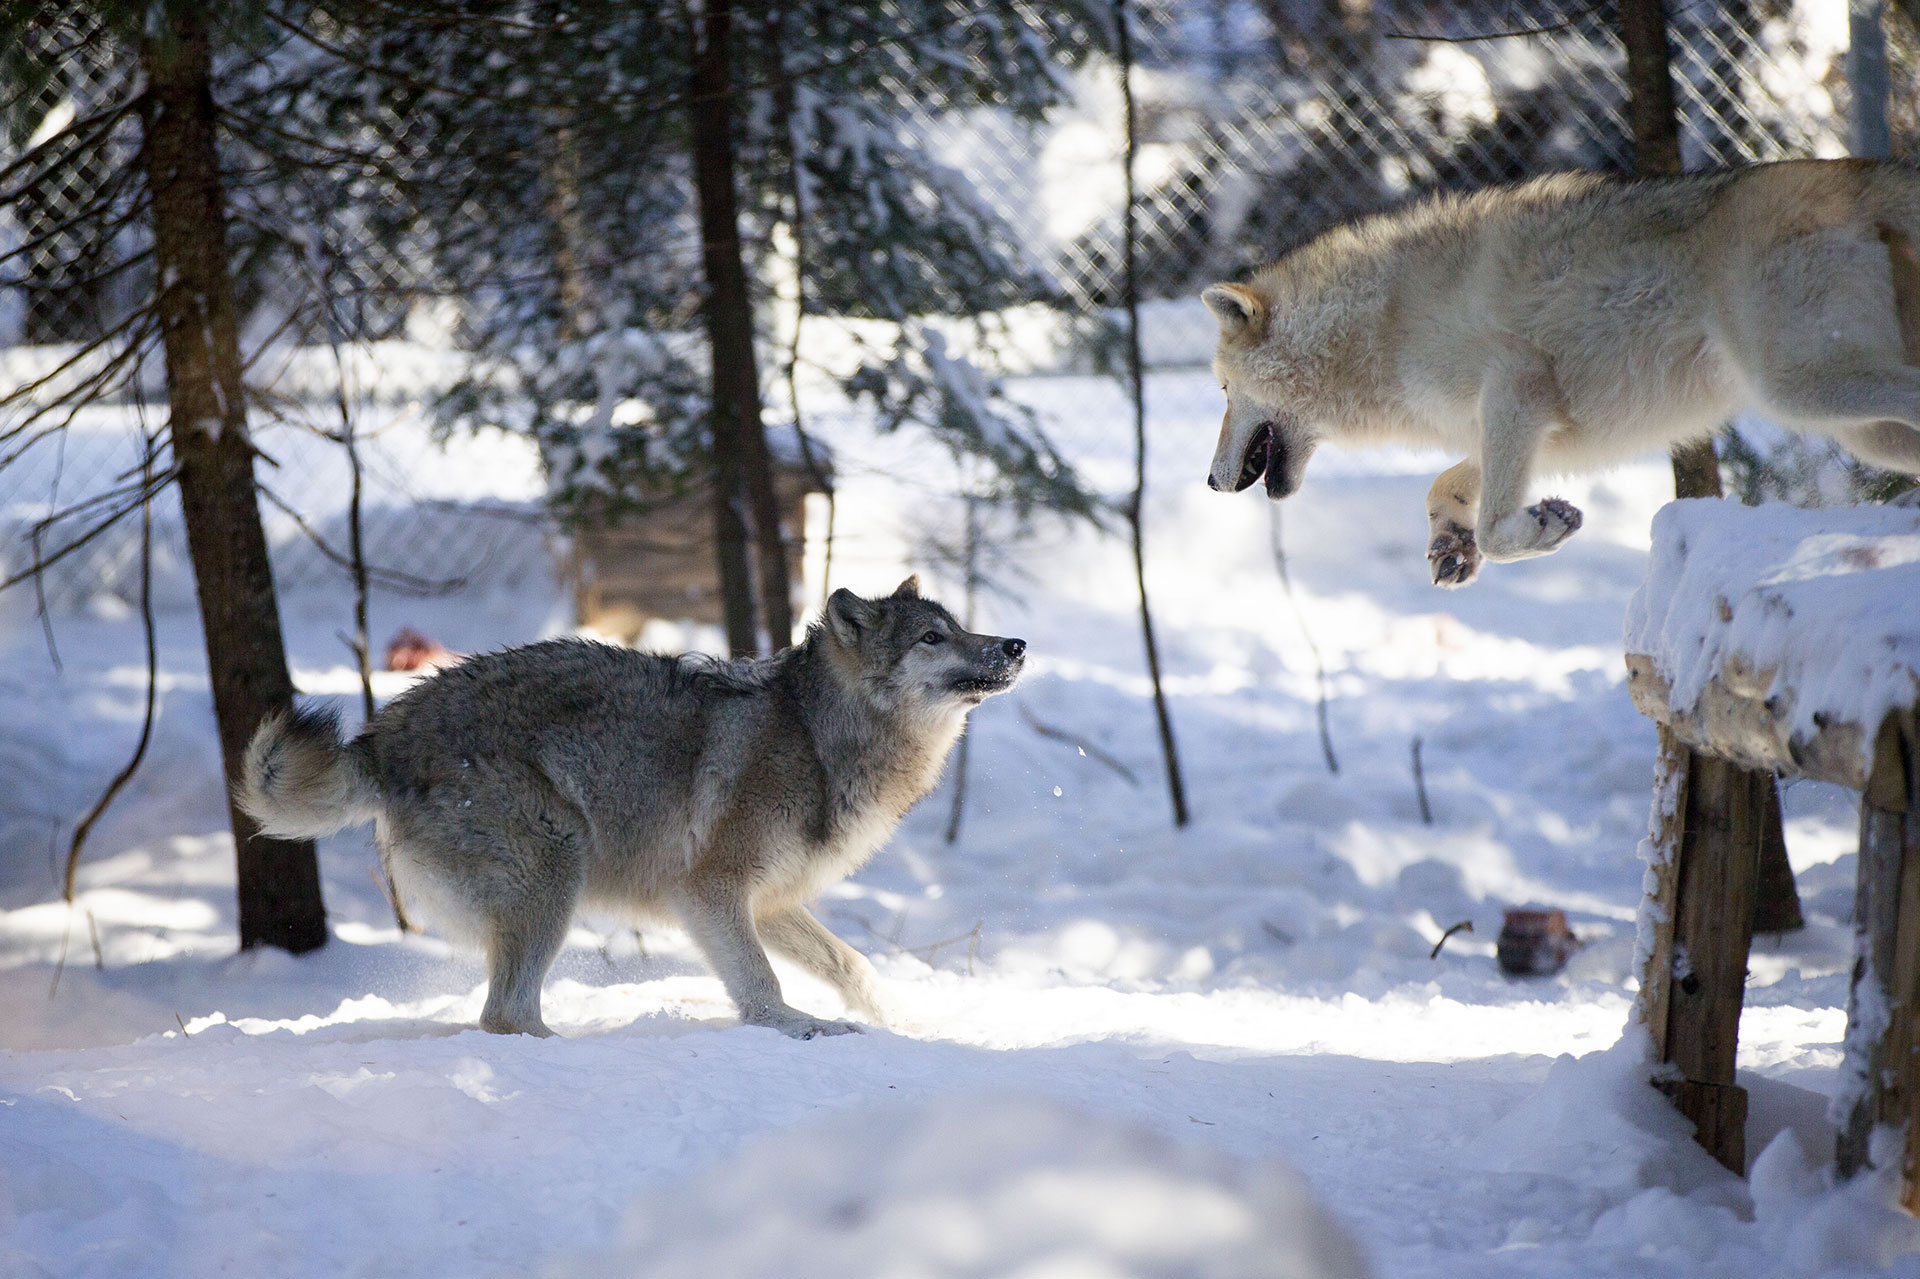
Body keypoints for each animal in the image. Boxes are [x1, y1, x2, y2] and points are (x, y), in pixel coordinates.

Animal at [237, 578, 1024, 1039]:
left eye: (958, 626)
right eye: (932, 637)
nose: (1016, 644)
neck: (816, 733)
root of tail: (380, 738)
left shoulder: (768, 902)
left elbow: (854, 965)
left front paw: (905, 1022)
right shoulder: (707, 891)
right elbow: (762, 984)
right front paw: (804, 1030)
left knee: (505, 1010)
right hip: (557, 872)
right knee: (505, 1014)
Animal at [1202, 159, 1920, 586]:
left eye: (1224, 390)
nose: (1209, 481)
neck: (1381, 321)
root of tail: (1864, 175)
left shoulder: (1517, 389)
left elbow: (1496, 524)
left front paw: (1537, 528)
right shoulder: (1535, 428)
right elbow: (1443, 485)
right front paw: (1451, 545)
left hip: (1803, 390)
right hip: (1864, 431)